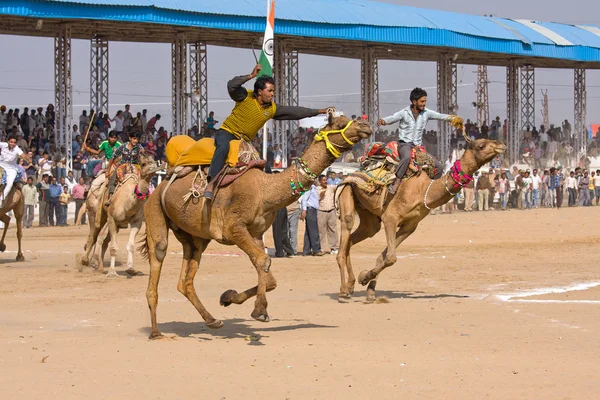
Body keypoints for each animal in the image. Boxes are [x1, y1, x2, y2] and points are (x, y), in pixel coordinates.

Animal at [140, 114, 372, 340]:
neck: (264, 191)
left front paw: (228, 297)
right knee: (158, 255)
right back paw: (155, 332)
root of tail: (161, 184)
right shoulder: (234, 228)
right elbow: (263, 261)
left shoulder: (257, 233)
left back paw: (212, 320)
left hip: (195, 236)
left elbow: (269, 277)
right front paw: (260, 311)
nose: (366, 126)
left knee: (185, 279)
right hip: (154, 211)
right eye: (340, 123)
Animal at [338, 138, 506, 304]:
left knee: (355, 239)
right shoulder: (390, 218)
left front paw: (370, 290)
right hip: (348, 190)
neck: (424, 191)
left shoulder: (410, 226)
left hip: (369, 217)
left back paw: (350, 286)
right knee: (345, 234)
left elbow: (384, 256)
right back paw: (343, 292)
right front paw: (364, 277)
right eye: (481, 145)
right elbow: (391, 257)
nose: (501, 145)